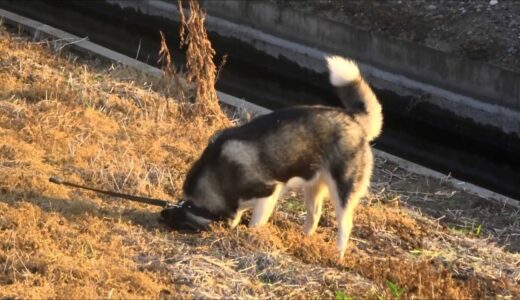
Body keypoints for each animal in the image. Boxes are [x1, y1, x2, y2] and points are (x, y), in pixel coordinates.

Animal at [160, 56, 384, 258]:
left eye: (184, 227)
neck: (219, 173)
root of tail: (352, 118)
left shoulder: (268, 192)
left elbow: (255, 223)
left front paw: (251, 238)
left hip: (343, 190)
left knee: (345, 225)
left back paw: (338, 254)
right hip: (312, 185)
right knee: (315, 215)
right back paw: (304, 238)